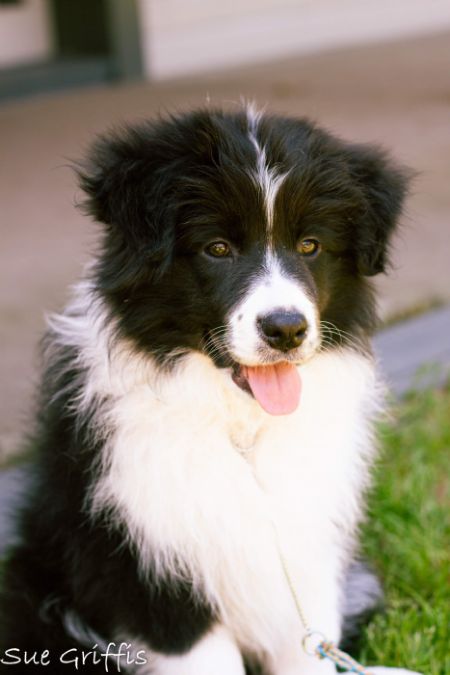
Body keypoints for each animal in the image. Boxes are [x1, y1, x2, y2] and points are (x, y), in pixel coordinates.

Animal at [0, 108, 418, 672]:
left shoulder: (305, 553)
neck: (240, 428)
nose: (286, 328)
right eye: (217, 248)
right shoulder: (151, 564)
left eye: (310, 245)